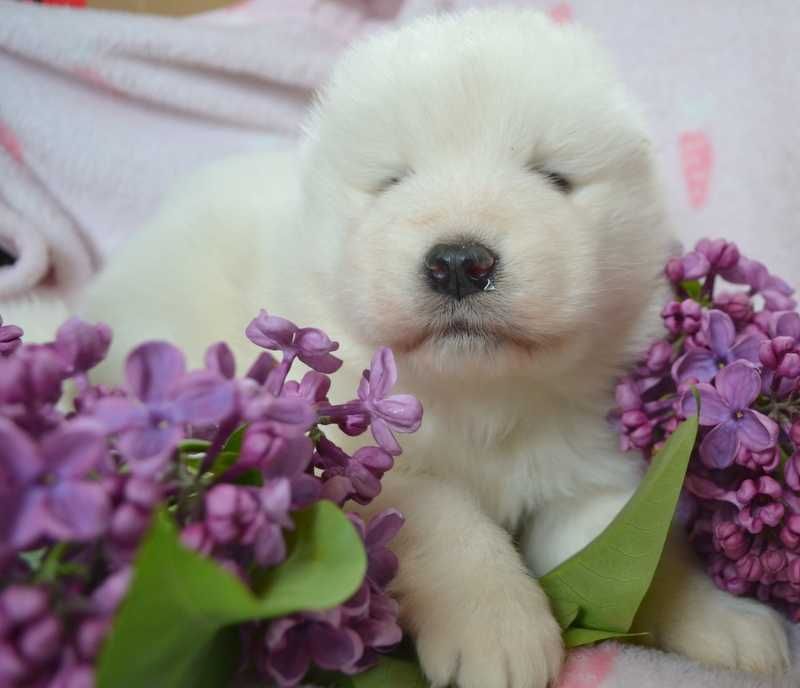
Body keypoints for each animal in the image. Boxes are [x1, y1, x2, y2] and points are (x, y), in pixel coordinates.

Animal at [54, 6, 788, 688]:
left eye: (554, 176)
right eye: (391, 179)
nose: (460, 262)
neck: (484, 398)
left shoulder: (588, 465)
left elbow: (646, 547)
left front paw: (730, 624)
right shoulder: (367, 460)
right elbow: (447, 523)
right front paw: (501, 636)